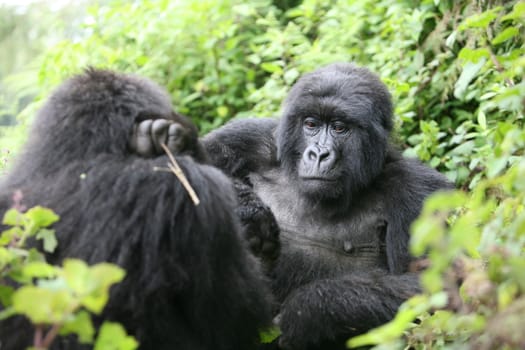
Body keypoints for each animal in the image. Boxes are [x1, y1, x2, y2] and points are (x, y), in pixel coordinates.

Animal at [199, 63, 452, 350]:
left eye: (339, 128)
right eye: (311, 124)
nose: (318, 154)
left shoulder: (417, 190)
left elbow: (433, 285)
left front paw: (307, 312)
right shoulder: (252, 138)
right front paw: (247, 211)